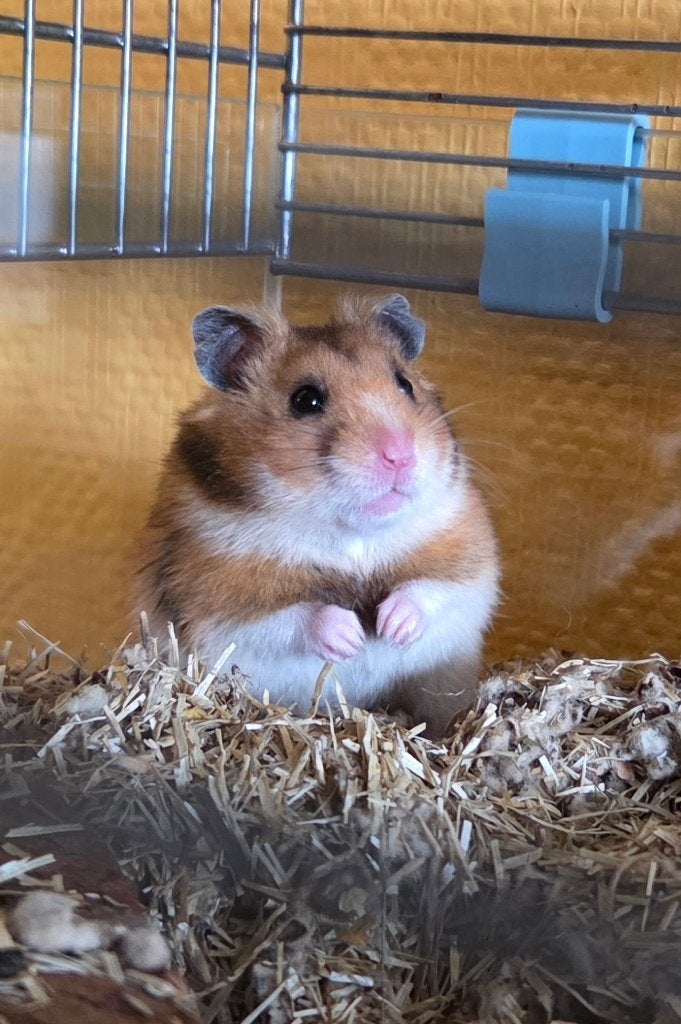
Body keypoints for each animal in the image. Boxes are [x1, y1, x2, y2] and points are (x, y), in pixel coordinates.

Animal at [136, 294, 499, 737]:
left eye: (404, 383)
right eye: (305, 400)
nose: (400, 454)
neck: (350, 534)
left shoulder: (469, 555)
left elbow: (433, 588)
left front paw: (390, 627)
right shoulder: (216, 597)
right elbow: (290, 618)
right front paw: (353, 639)